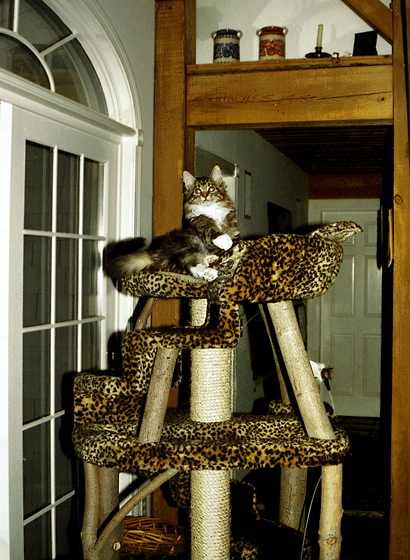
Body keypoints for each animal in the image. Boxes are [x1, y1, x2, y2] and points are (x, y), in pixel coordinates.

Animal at [106, 165, 240, 280]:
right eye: (197, 191)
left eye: (211, 189)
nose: (205, 196)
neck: (210, 209)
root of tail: (159, 251)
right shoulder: (199, 222)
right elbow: (210, 228)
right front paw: (224, 240)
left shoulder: (231, 222)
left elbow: (234, 238)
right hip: (190, 243)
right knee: (190, 265)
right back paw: (208, 271)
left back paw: (210, 260)